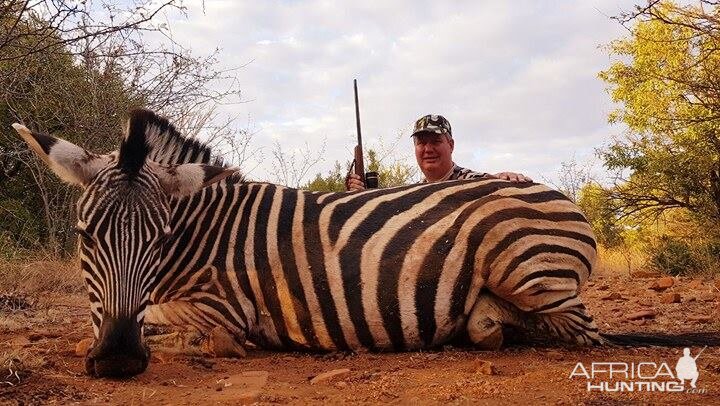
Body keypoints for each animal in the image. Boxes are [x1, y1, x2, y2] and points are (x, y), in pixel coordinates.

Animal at [14, 108, 604, 378]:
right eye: (85, 236)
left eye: (159, 240)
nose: (116, 360)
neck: (203, 231)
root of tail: (563, 198)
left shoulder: (225, 306)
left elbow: (167, 321)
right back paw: (481, 326)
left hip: (528, 273)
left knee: (583, 334)